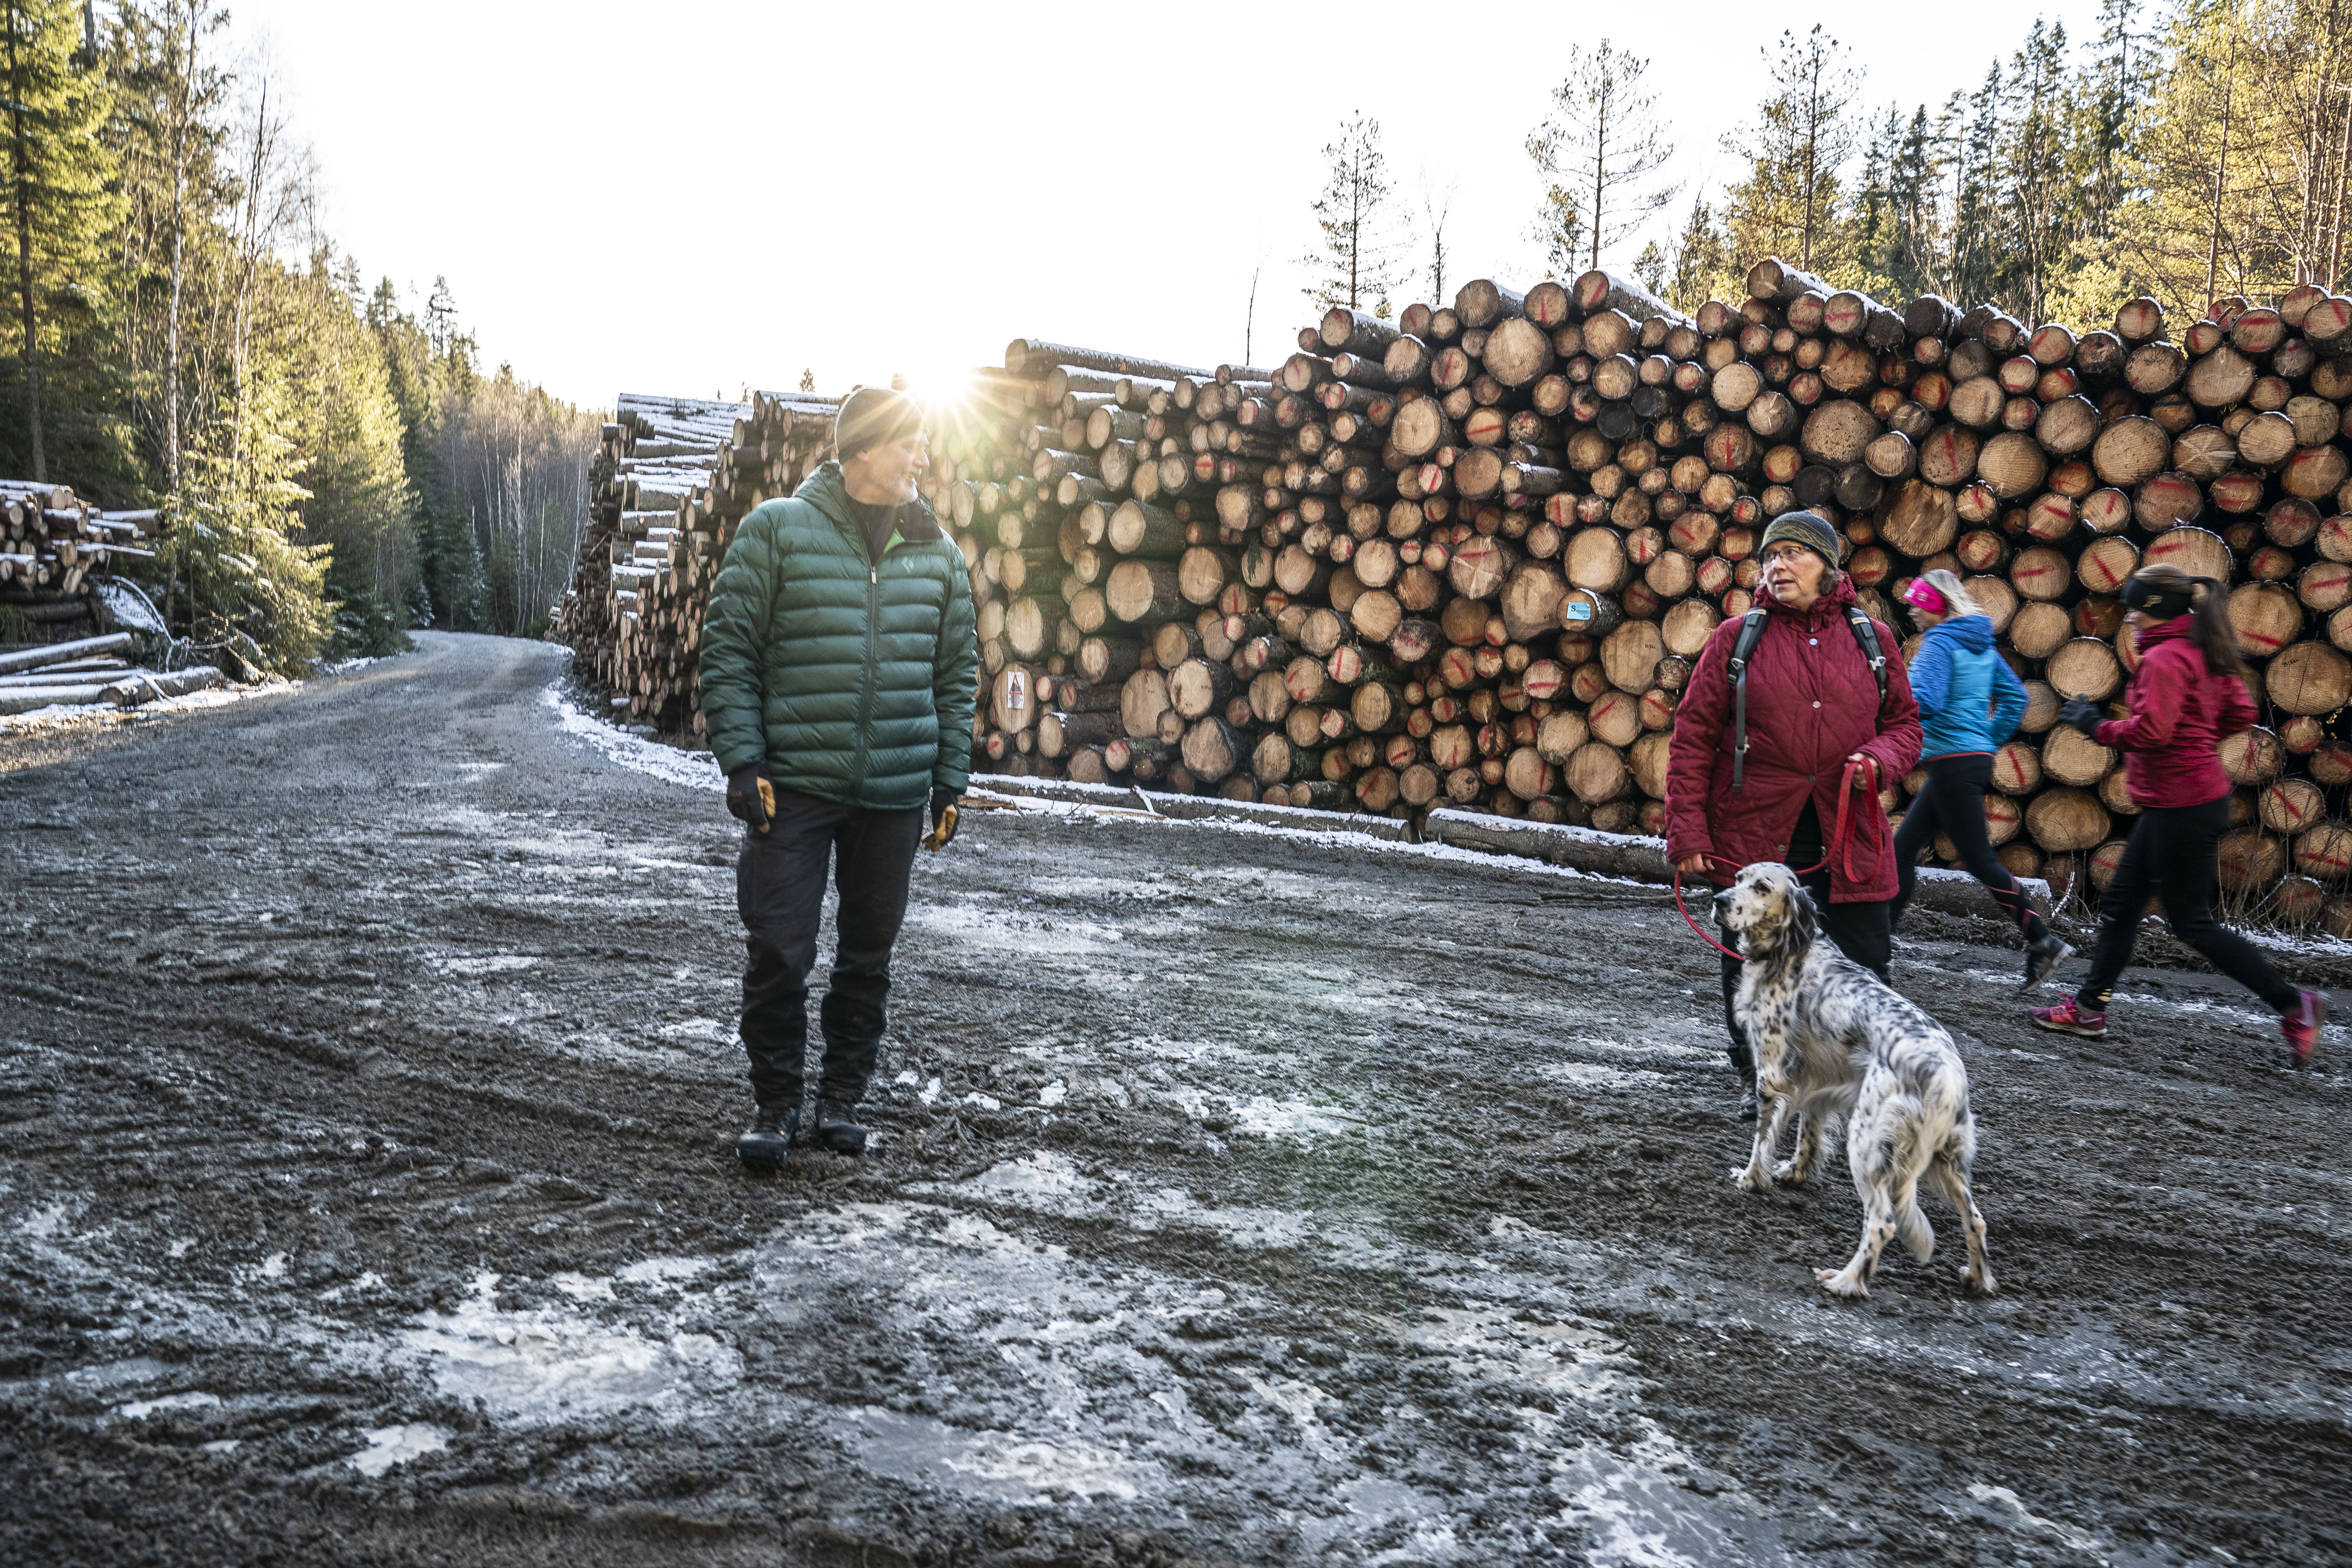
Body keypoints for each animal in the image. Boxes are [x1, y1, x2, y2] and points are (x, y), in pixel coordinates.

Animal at [1722, 860, 1994, 1297]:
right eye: (1736, 879)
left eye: (1761, 887)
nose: (1718, 900)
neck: (1790, 949)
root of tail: (1945, 1073)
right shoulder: (1813, 1080)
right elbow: (1807, 1135)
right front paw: (1794, 1173)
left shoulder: (1771, 1076)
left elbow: (1762, 1139)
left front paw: (1750, 1179)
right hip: (1948, 1159)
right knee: (1976, 1219)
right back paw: (1977, 1278)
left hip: (1867, 1145)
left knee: (1882, 1221)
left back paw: (1845, 1280)